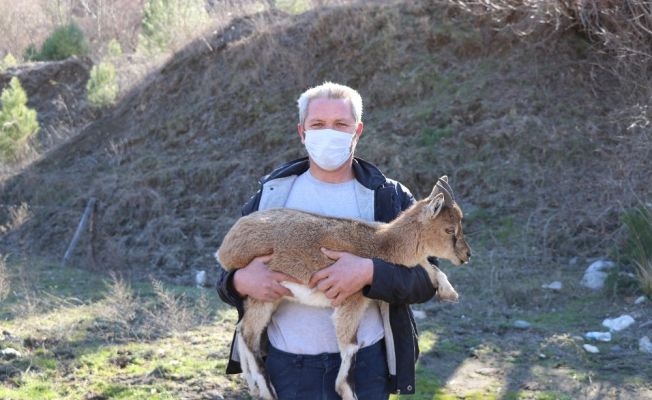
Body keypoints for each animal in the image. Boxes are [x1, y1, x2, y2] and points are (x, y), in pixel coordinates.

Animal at [216, 177, 472, 400]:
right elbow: (350, 345)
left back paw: (254, 388)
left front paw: (450, 292)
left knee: (242, 329)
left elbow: (429, 266)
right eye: (450, 229)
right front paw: (347, 391)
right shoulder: (351, 299)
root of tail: (225, 247)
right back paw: (268, 392)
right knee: (248, 334)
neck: (380, 243)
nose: (466, 255)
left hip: (270, 297)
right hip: (263, 292)